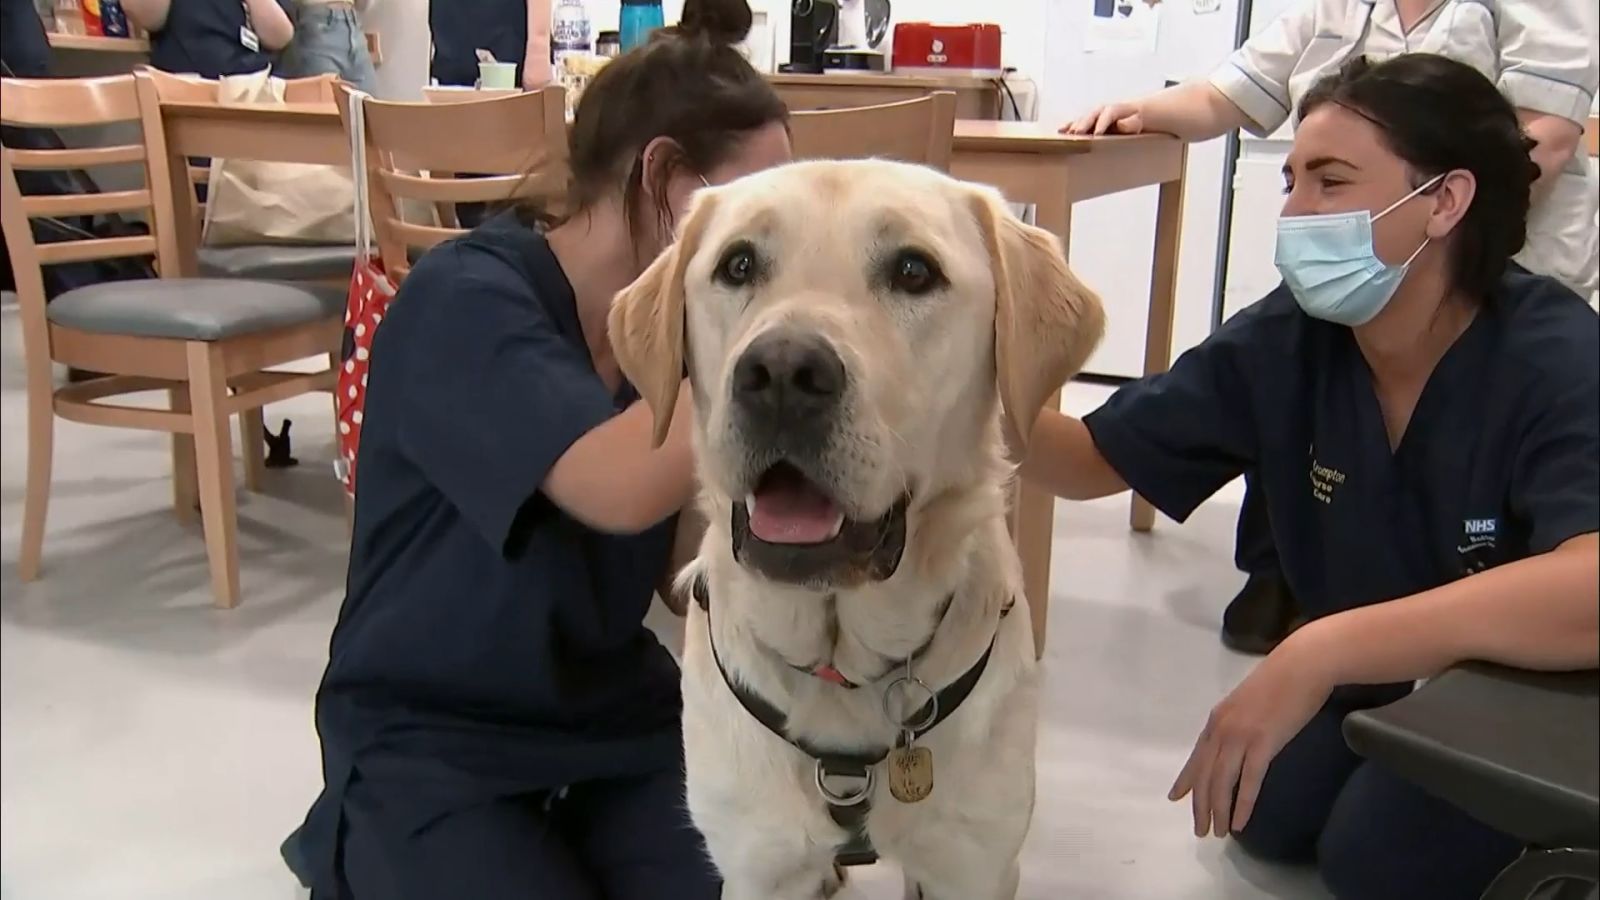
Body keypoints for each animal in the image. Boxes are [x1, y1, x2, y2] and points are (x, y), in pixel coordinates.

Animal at [608, 157, 1100, 890]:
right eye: (738, 265)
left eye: (915, 272)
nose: (782, 371)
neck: (842, 663)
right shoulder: (760, 869)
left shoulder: (974, 866)